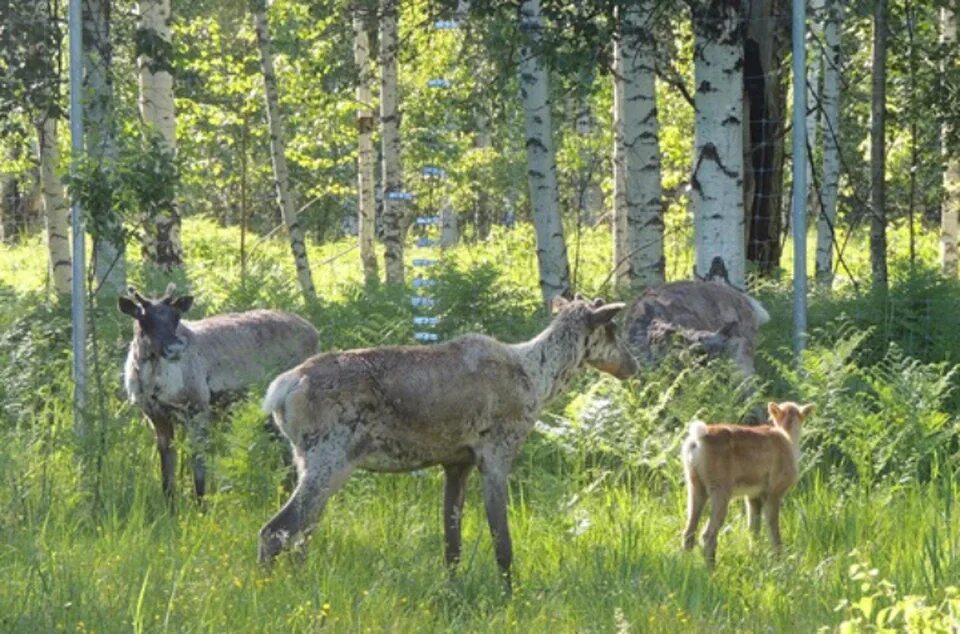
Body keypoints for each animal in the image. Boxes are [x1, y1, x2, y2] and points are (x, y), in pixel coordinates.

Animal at [680, 398, 812, 564]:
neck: (788, 437)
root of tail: (697, 439)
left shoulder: (752, 497)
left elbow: (753, 530)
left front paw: (755, 556)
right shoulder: (774, 492)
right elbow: (773, 530)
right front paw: (779, 560)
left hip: (695, 486)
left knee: (688, 532)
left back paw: (687, 565)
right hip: (720, 490)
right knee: (708, 535)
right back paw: (710, 567)